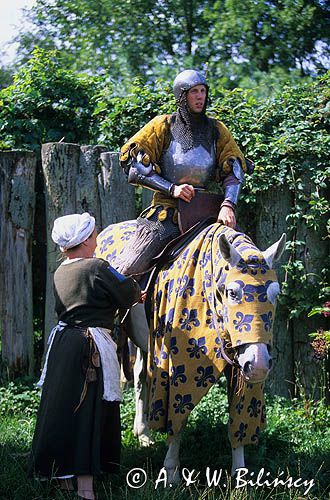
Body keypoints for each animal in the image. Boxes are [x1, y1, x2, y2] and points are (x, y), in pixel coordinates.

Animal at [94, 222, 284, 480]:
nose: (259, 365)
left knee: (142, 377)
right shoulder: (176, 364)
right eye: (232, 292)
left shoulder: (240, 367)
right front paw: (171, 470)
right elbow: (178, 414)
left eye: (276, 294)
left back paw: (142, 433)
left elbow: (238, 417)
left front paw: (239, 474)